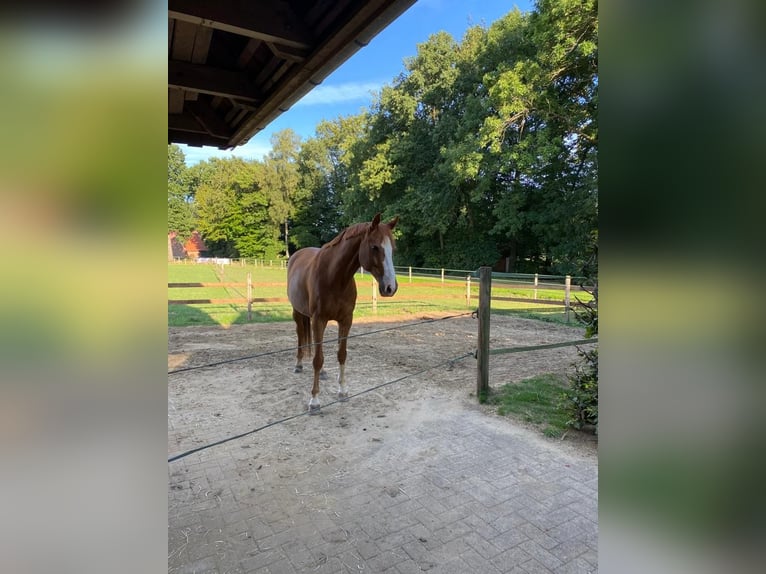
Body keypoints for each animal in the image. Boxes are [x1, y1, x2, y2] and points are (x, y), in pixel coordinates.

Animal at [284, 214, 400, 416]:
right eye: (374, 247)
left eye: (392, 249)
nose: (390, 287)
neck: (334, 277)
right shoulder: (319, 320)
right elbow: (317, 359)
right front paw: (314, 401)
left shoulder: (346, 320)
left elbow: (341, 354)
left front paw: (343, 391)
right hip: (298, 313)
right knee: (300, 336)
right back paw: (298, 365)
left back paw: (323, 373)